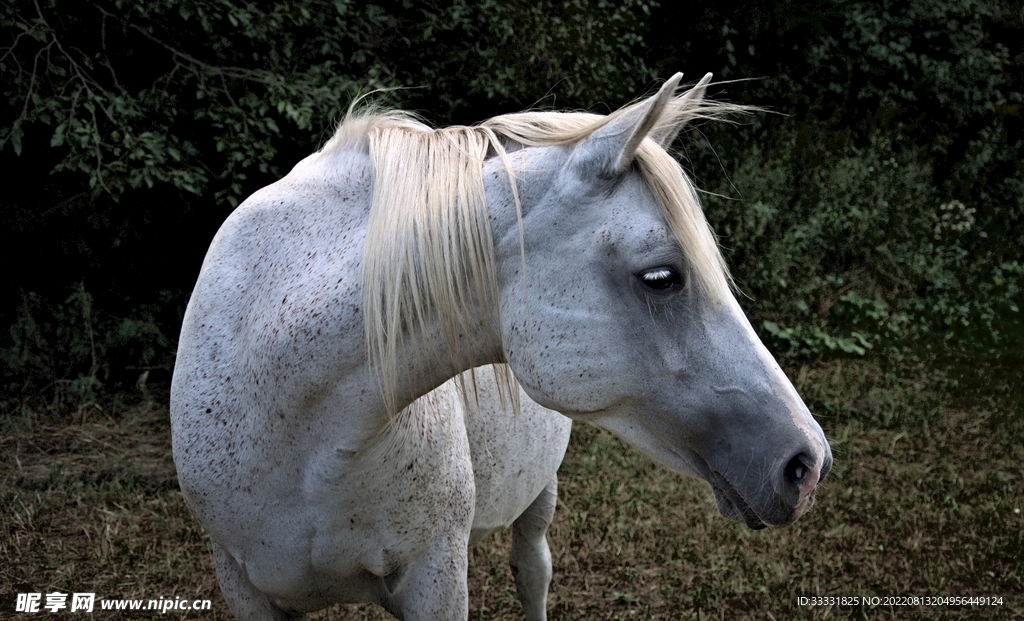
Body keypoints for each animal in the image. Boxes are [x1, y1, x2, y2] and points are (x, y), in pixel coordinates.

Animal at [170, 72, 832, 620]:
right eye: (661, 277)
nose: (807, 463)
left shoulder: (435, 580)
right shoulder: (244, 587)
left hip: (539, 493)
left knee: (532, 570)